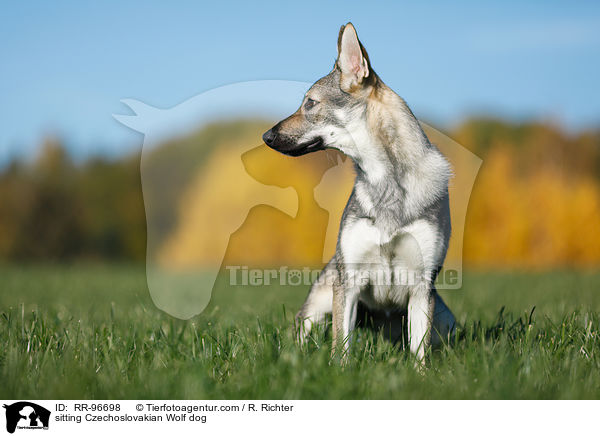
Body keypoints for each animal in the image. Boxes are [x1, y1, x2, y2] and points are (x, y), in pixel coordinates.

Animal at [264, 22, 458, 362]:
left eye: (309, 103)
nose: (266, 136)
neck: (386, 182)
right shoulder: (349, 282)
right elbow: (340, 347)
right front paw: (339, 371)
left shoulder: (422, 286)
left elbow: (418, 352)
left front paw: (420, 374)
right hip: (320, 300)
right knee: (301, 335)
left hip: (446, 320)